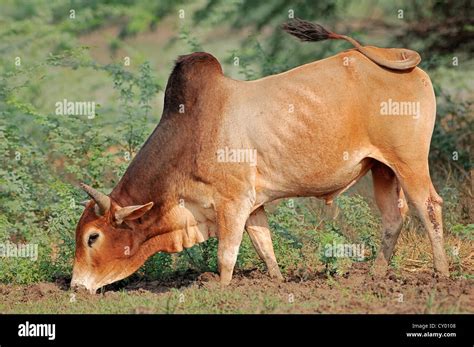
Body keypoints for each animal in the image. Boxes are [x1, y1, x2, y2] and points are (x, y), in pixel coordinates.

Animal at [72, 19, 450, 294]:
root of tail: (396, 56)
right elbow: (264, 245)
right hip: (382, 168)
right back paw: (374, 276)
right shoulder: (252, 205)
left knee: (428, 207)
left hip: (409, 162)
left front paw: (221, 290)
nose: (75, 286)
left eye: (93, 237)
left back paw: (442, 274)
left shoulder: (232, 203)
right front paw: (277, 283)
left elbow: (226, 255)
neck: (191, 135)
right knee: (393, 218)